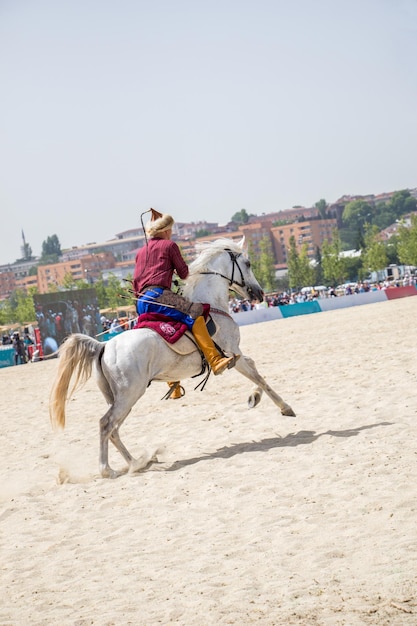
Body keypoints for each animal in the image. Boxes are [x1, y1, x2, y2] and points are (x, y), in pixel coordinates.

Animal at [50, 236, 294, 476]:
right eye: (248, 263)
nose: (259, 293)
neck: (213, 304)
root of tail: (103, 346)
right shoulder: (234, 353)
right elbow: (257, 375)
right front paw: (283, 406)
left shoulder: (237, 354)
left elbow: (256, 372)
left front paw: (256, 397)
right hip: (129, 394)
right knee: (106, 424)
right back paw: (108, 470)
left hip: (120, 398)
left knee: (114, 430)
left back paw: (138, 462)